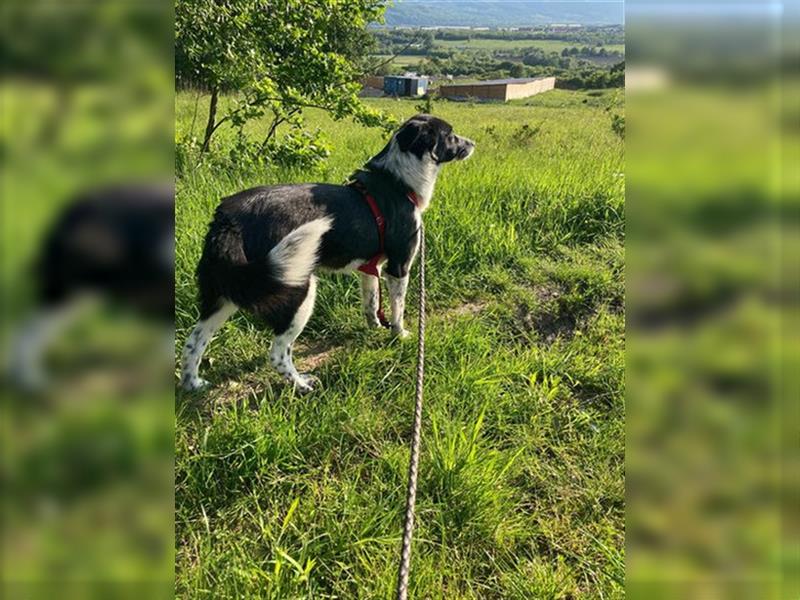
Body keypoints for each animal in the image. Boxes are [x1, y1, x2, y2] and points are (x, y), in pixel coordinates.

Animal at [181, 113, 476, 394]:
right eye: (450, 135)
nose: (473, 143)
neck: (399, 181)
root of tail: (228, 221)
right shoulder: (399, 267)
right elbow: (398, 308)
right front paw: (399, 334)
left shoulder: (371, 269)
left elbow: (371, 303)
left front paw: (374, 327)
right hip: (298, 291)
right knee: (277, 353)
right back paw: (301, 385)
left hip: (227, 294)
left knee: (193, 342)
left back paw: (193, 384)